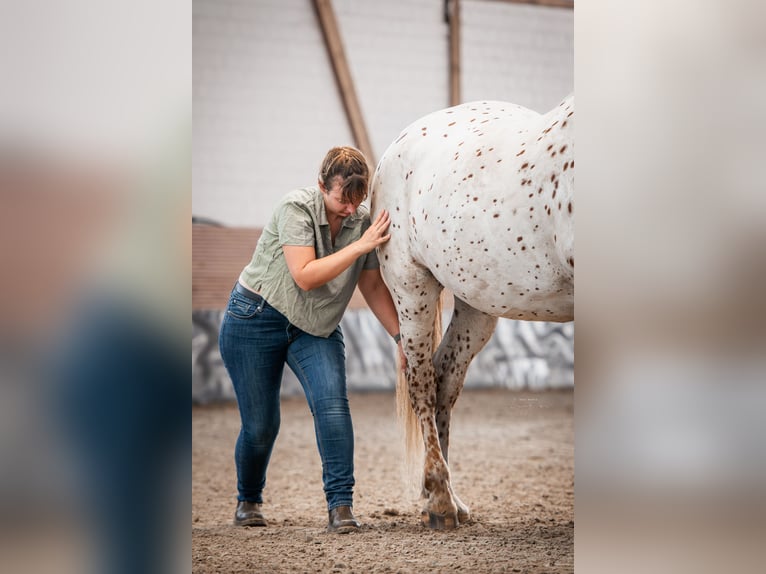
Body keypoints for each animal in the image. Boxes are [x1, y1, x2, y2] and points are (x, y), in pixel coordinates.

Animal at [370, 94, 574, 529]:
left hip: (476, 305)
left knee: (444, 377)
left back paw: (444, 497)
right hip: (412, 288)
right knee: (422, 382)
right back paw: (441, 501)